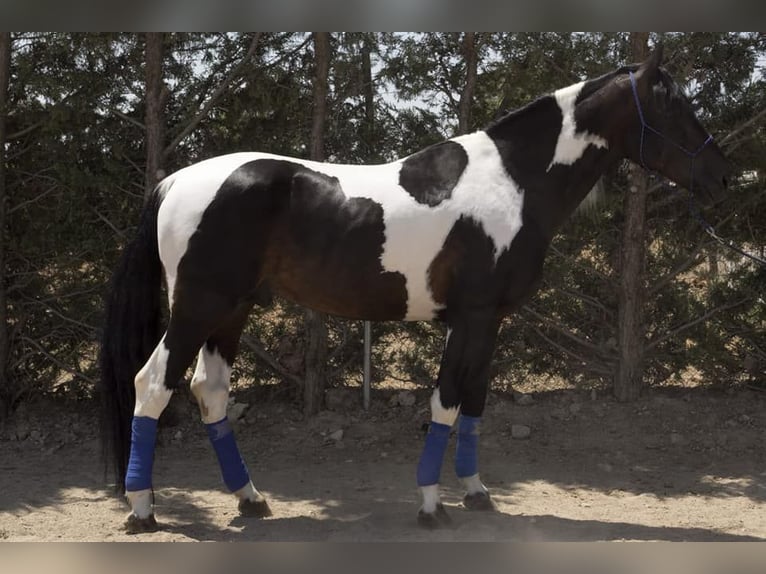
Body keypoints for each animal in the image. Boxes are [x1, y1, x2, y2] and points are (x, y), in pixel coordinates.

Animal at [99, 45, 731, 533]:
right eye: (673, 106)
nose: (723, 176)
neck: (512, 183)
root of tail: (174, 182)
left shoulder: (487, 322)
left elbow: (473, 403)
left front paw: (476, 493)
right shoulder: (472, 316)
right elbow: (446, 402)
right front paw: (432, 506)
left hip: (231, 311)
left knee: (210, 392)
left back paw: (250, 499)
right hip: (198, 308)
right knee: (152, 385)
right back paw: (143, 511)